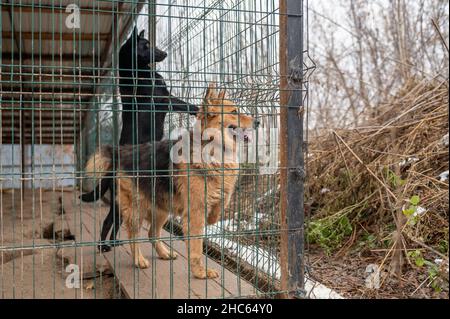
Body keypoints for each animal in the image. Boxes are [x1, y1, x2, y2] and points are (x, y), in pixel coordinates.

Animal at [81, 27, 197, 252]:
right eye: (147, 45)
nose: (164, 53)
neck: (135, 73)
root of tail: (112, 163)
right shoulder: (166, 100)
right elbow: (189, 105)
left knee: (116, 221)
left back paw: (113, 243)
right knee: (109, 220)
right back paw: (103, 247)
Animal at [86, 85, 255, 280]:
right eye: (234, 112)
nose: (258, 122)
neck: (213, 147)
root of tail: (121, 152)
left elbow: (218, 208)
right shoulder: (195, 214)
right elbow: (196, 247)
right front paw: (199, 272)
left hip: (162, 209)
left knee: (152, 233)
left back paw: (163, 253)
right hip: (136, 210)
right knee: (133, 235)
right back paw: (138, 259)